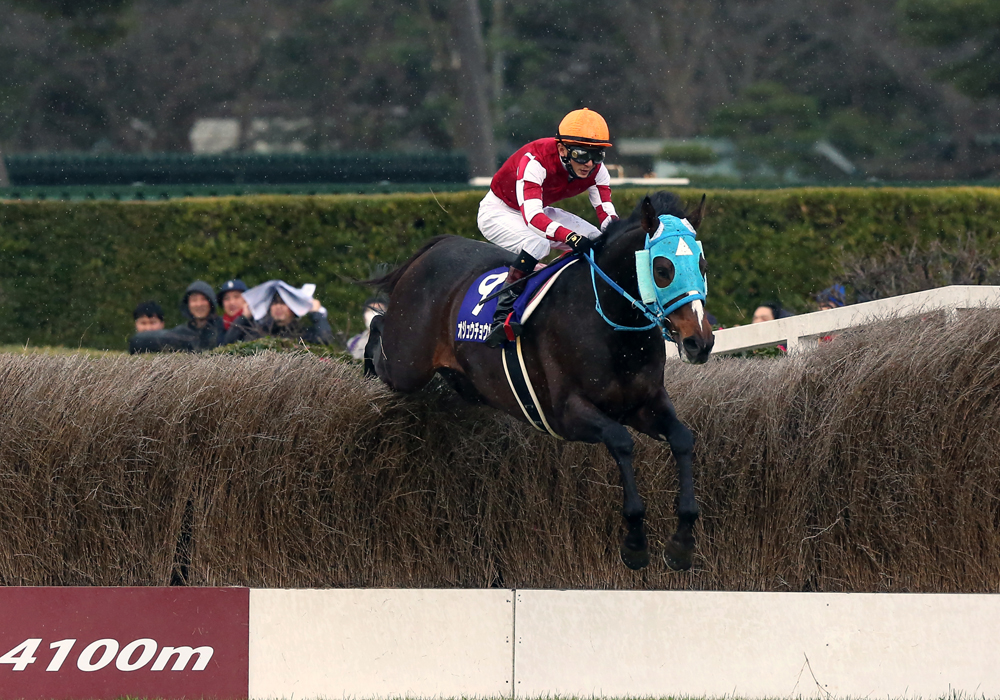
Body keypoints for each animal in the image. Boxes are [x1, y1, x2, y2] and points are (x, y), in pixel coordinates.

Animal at [364, 190, 716, 568]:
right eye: (663, 269)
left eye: (702, 265)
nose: (699, 342)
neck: (609, 322)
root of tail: (439, 246)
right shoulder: (566, 413)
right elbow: (621, 441)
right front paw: (635, 543)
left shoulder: (644, 403)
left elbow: (682, 438)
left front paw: (682, 542)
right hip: (407, 363)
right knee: (378, 328)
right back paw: (367, 372)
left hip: (465, 382)